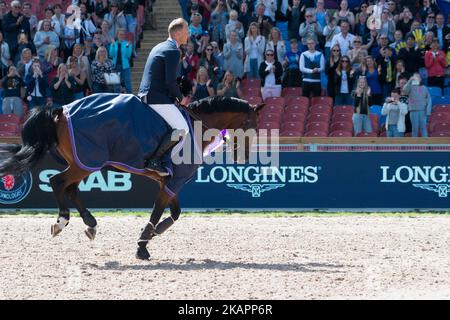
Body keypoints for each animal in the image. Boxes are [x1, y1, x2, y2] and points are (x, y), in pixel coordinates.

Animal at [0, 94, 264, 260]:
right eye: (251, 125)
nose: (244, 157)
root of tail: (61, 110)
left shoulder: (167, 181)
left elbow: (175, 213)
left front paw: (152, 234)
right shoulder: (173, 181)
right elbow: (158, 211)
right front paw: (143, 246)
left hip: (83, 163)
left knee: (70, 188)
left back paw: (90, 224)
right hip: (86, 162)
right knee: (58, 182)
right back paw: (61, 221)